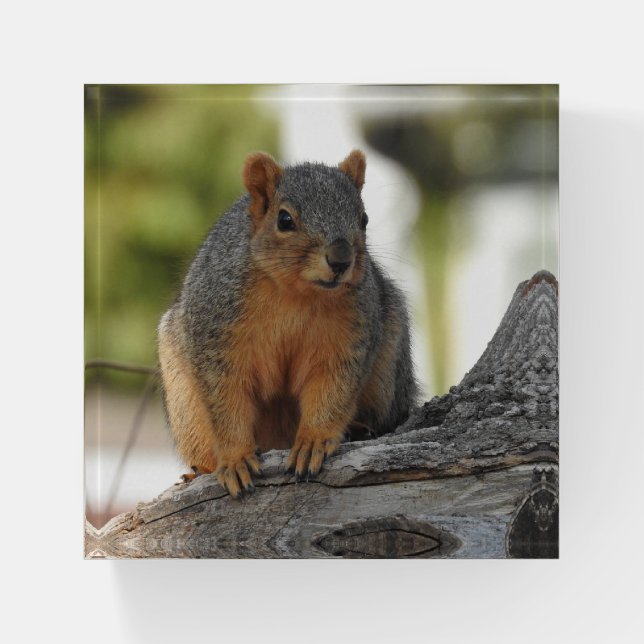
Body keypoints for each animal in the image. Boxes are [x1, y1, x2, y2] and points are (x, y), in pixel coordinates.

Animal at [158, 150, 417, 498]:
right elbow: (224, 397)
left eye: (363, 219)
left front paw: (313, 441)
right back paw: (199, 470)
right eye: (284, 220)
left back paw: (360, 428)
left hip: (389, 364)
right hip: (184, 403)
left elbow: (332, 388)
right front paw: (236, 457)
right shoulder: (215, 330)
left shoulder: (350, 336)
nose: (340, 260)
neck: (297, 294)